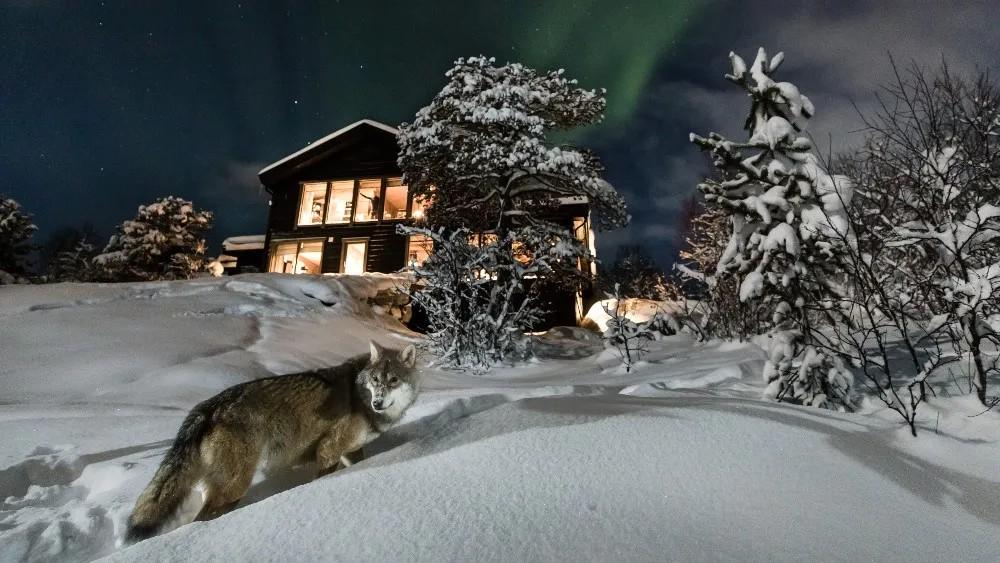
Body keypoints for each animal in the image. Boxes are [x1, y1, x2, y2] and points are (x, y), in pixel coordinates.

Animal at [124, 341, 419, 544]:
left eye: (393, 381)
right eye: (375, 380)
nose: (377, 402)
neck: (359, 397)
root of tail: (208, 407)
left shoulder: (351, 451)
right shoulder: (328, 450)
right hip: (235, 486)